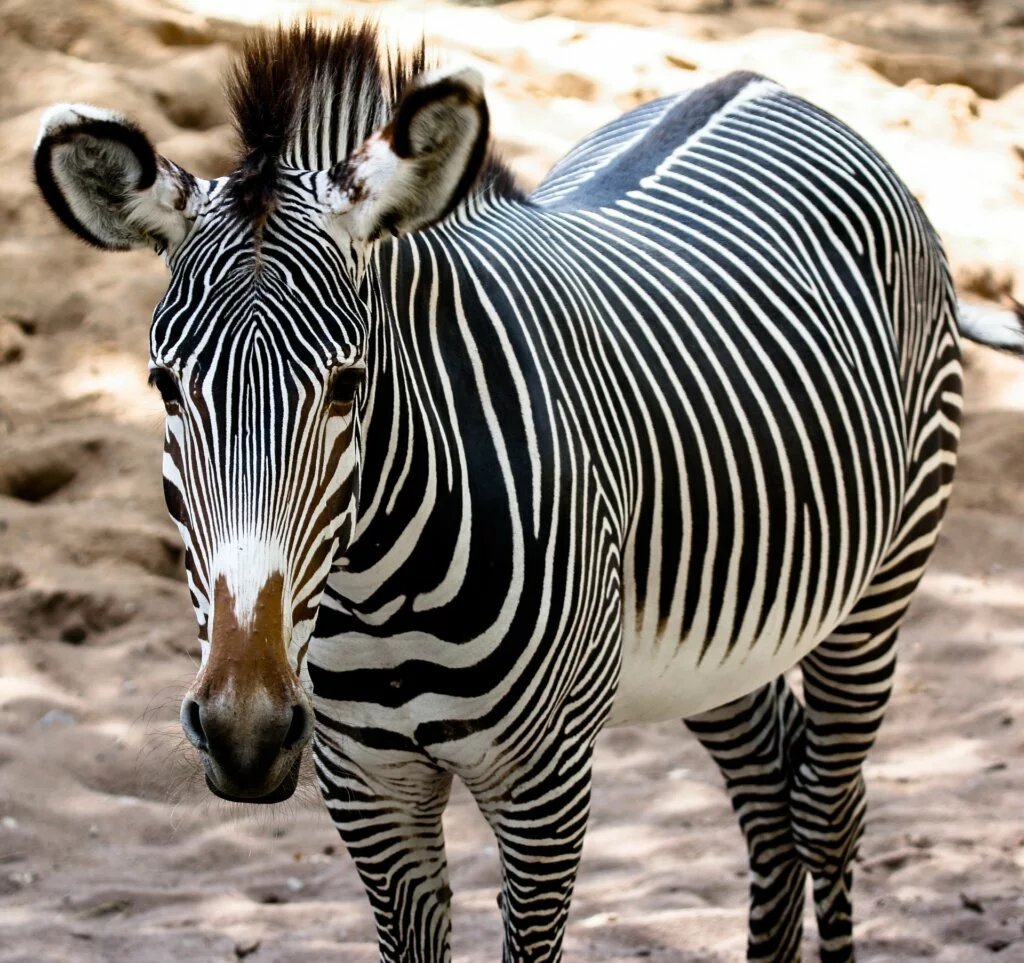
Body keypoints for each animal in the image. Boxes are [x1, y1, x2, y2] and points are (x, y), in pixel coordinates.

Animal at [33, 21, 1023, 963]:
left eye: (348, 385)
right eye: (165, 387)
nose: (245, 732)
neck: (377, 593)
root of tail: (762, 82)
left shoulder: (544, 787)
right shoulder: (368, 788)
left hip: (880, 588)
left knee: (827, 807)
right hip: (719, 635)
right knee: (767, 786)